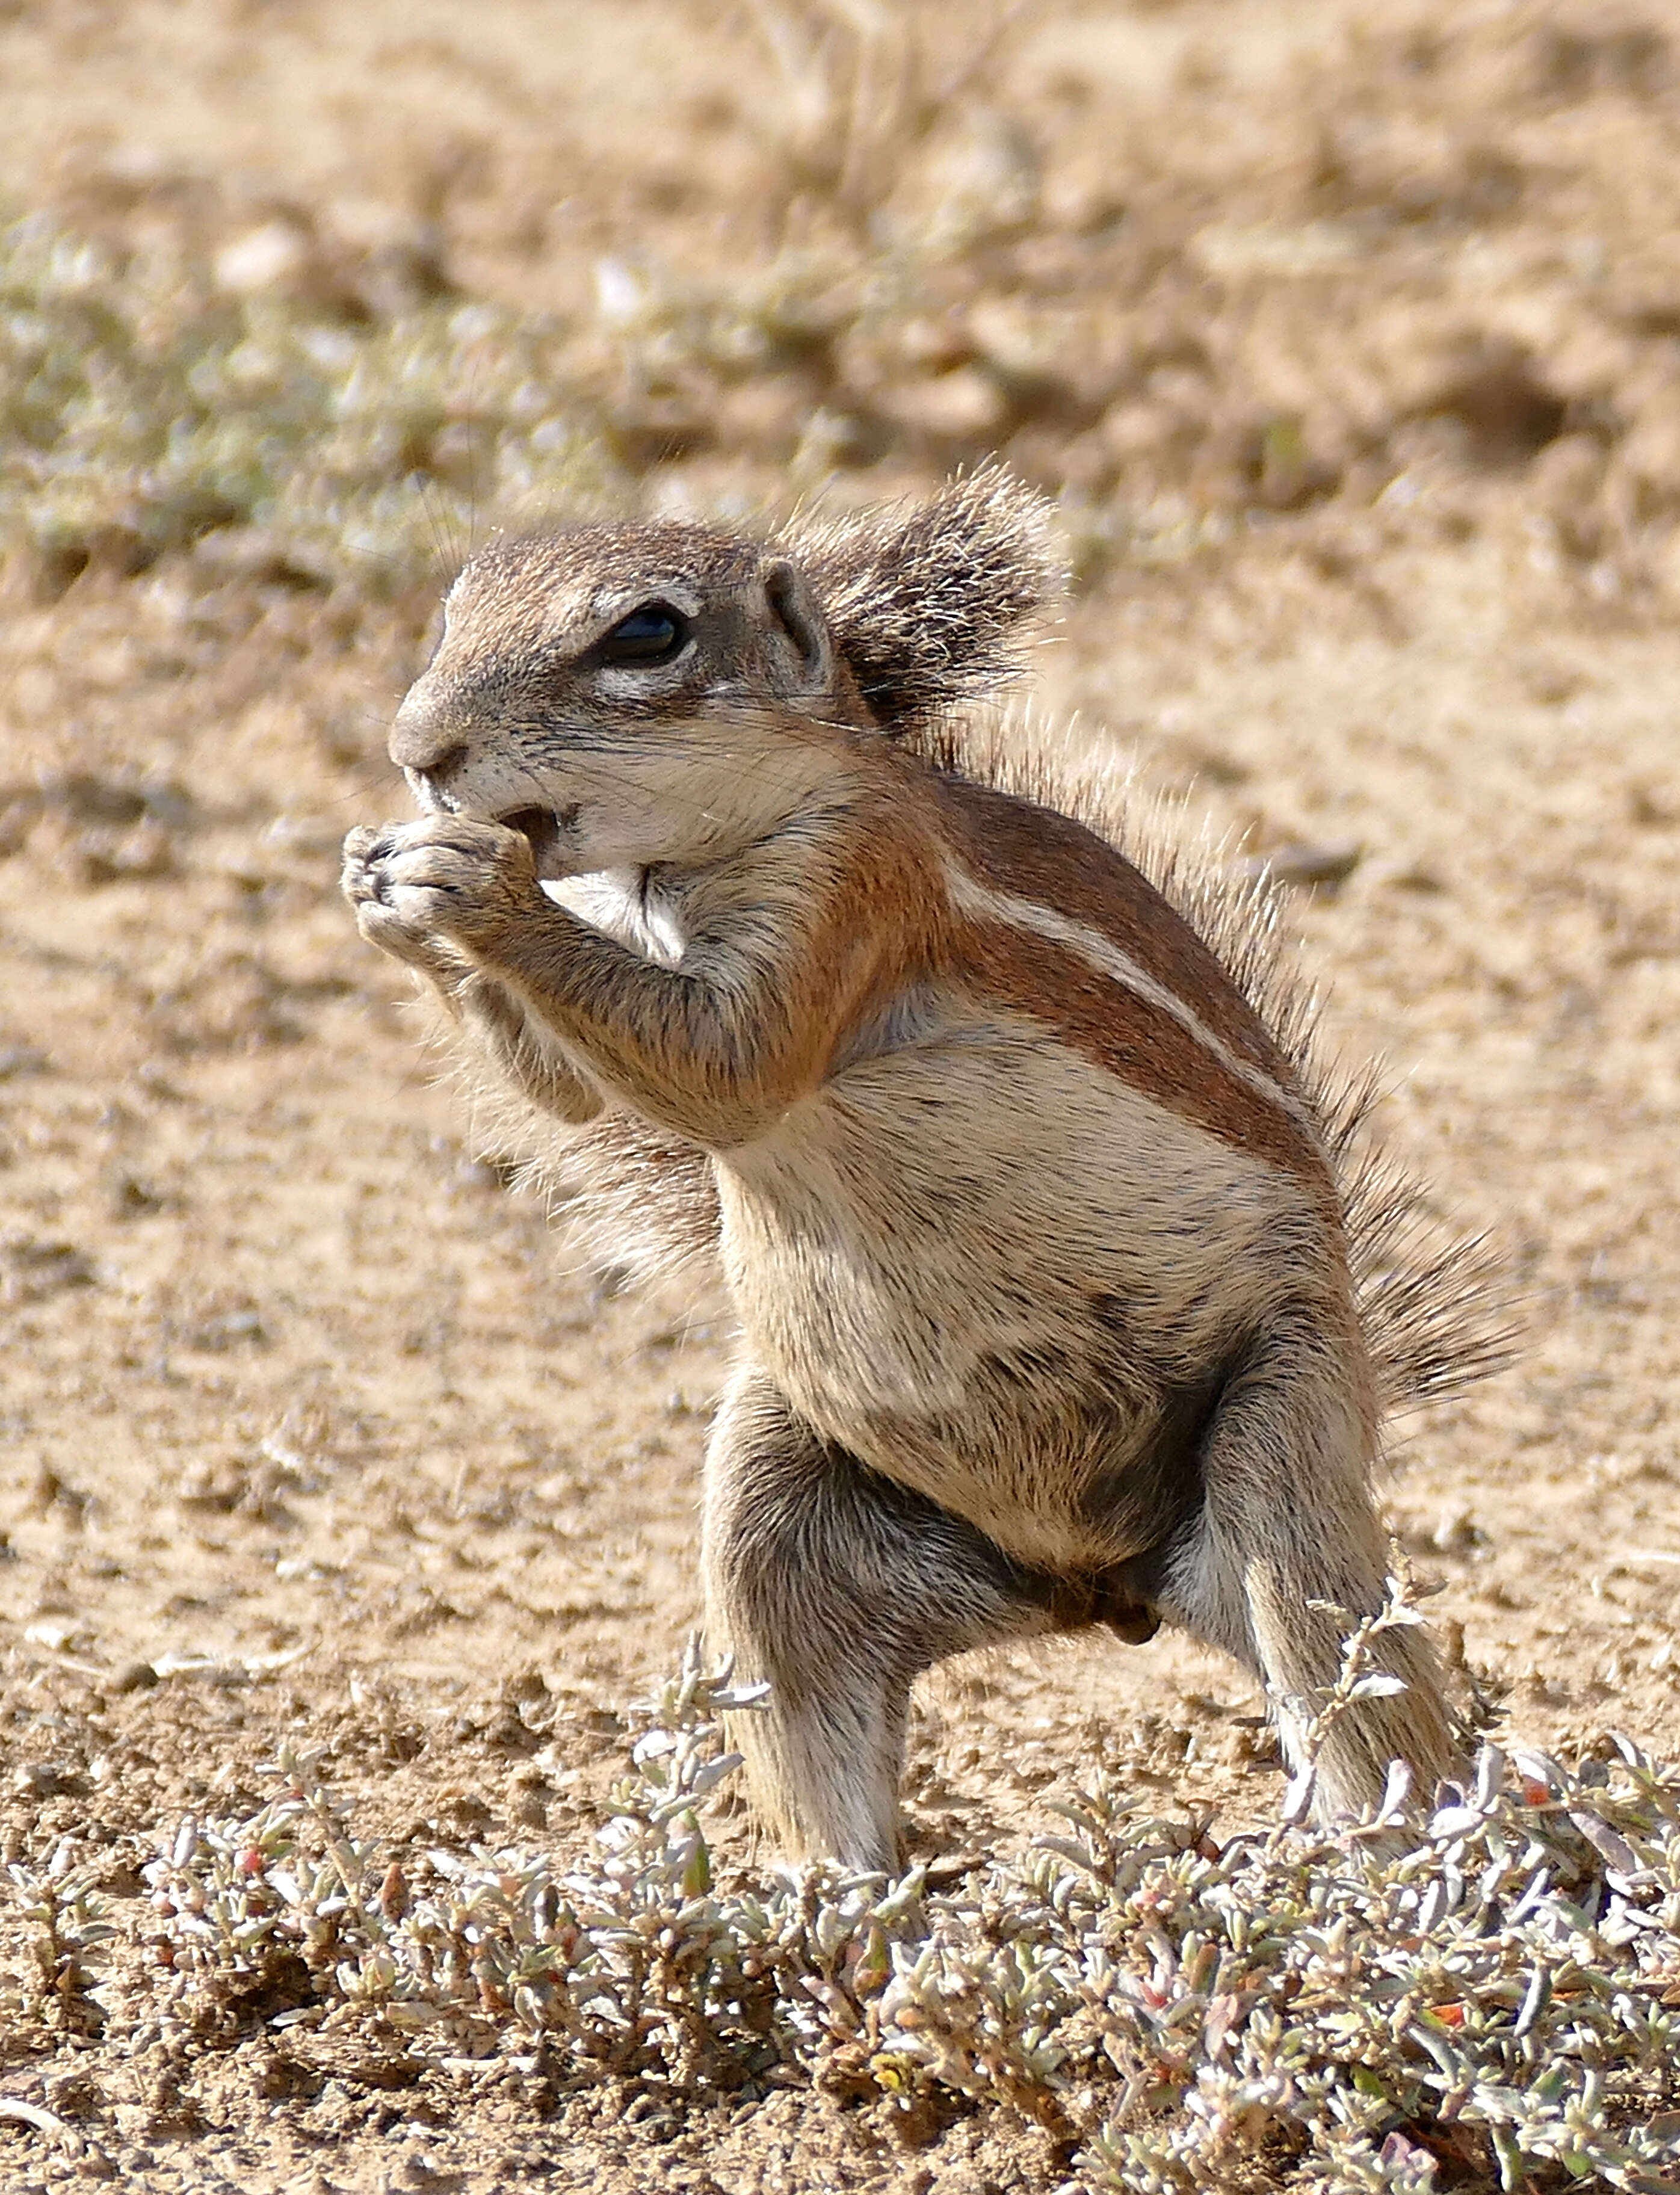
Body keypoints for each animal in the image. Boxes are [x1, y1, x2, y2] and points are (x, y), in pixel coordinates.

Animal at [338, 463, 1493, 1870]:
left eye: (646, 635)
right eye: (451, 611)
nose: (417, 753)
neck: (685, 864)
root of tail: (1095, 1583)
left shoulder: (853, 886)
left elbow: (727, 1066)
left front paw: (473, 890)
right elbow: (573, 1093)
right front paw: (385, 889)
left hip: (1286, 1430)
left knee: (1346, 1670)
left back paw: (1428, 1873)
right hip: (777, 1506)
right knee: (808, 1709)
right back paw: (826, 1901)